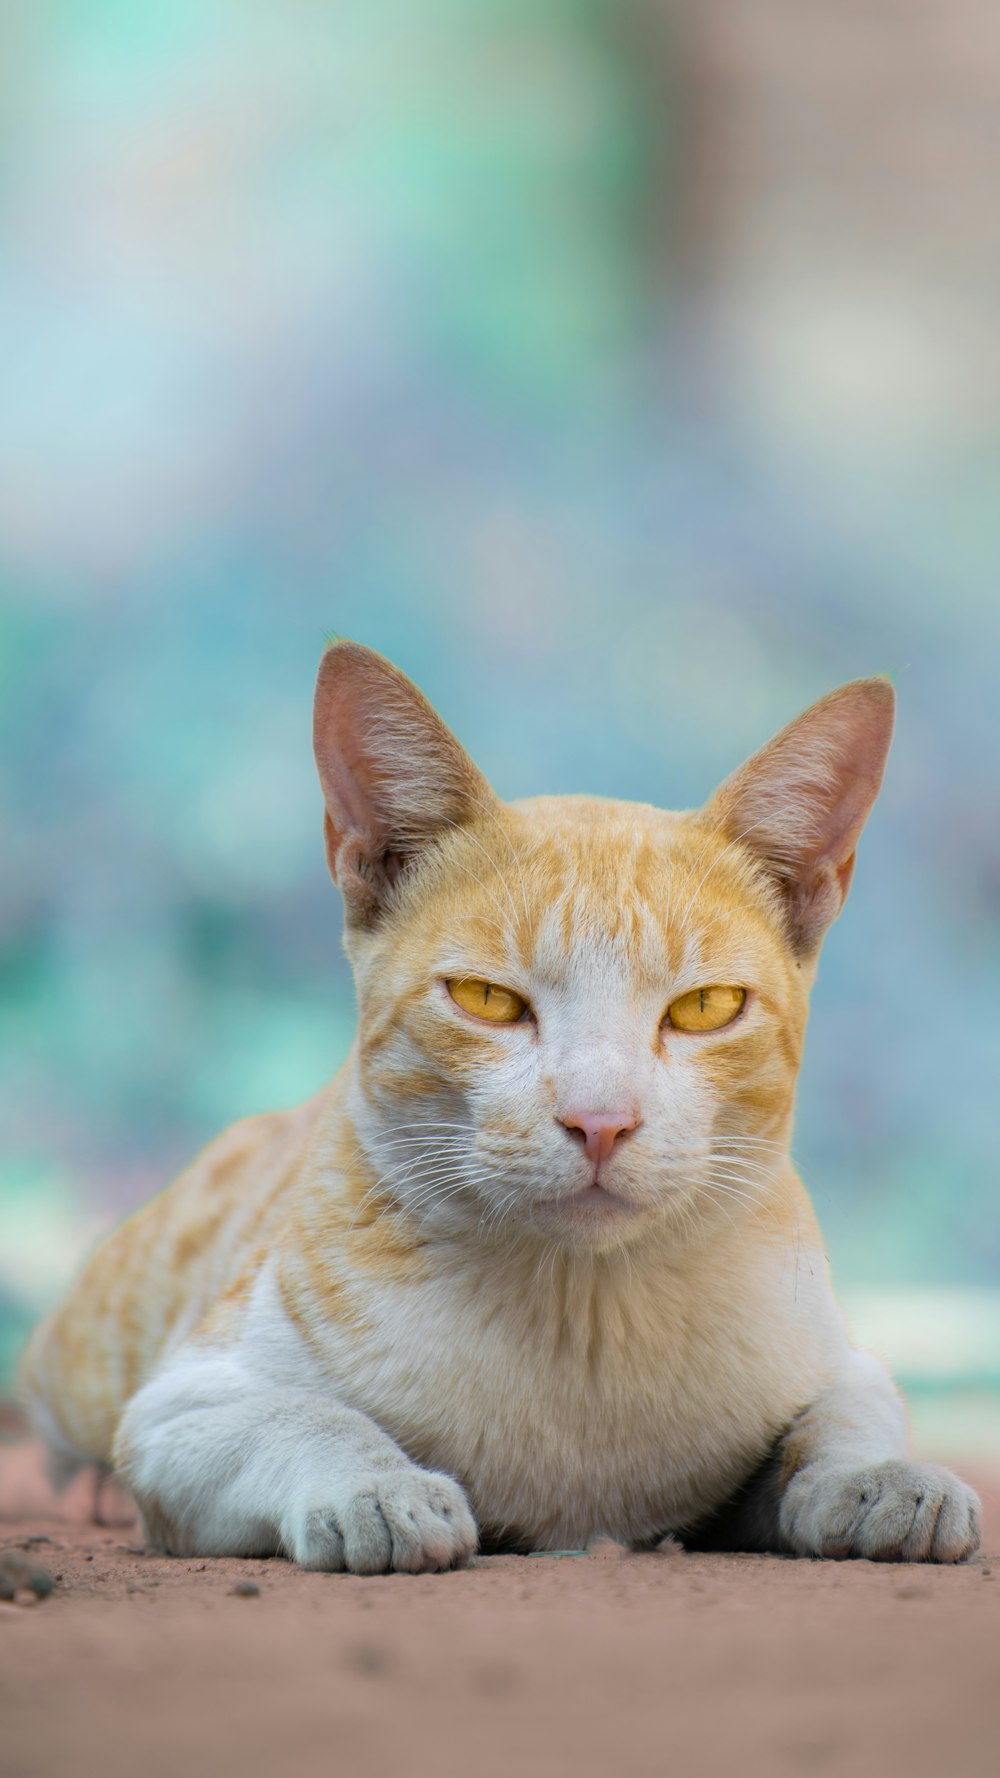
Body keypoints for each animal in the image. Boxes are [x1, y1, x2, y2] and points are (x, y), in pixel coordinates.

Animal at [19, 640, 975, 1571]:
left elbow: (846, 1413)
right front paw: (375, 1486)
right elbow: (303, 1414)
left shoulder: (838, 1356)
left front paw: (880, 1479)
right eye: (487, 999)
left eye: (706, 1008)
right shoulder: (178, 1410)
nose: (601, 1120)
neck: (583, 1316)